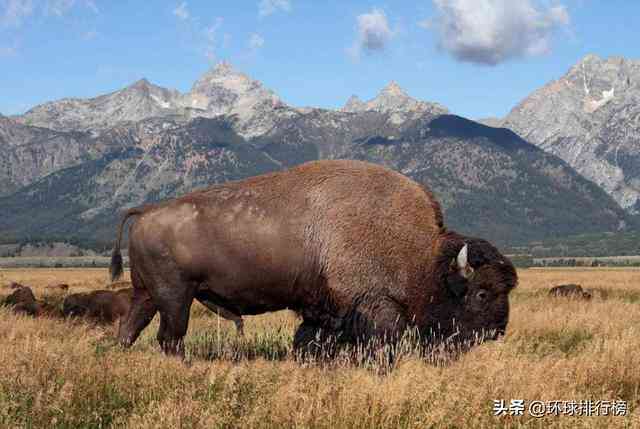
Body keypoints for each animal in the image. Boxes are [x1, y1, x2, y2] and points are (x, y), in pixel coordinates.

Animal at [110, 159, 516, 356]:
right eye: (482, 293)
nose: (498, 331)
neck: (423, 252)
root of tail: (147, 211)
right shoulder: (377, 308)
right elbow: (382, 344)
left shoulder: (322, 311)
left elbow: (310, 340)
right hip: (176, 297)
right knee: (170, 337)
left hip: (148, 295)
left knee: (130, 330)